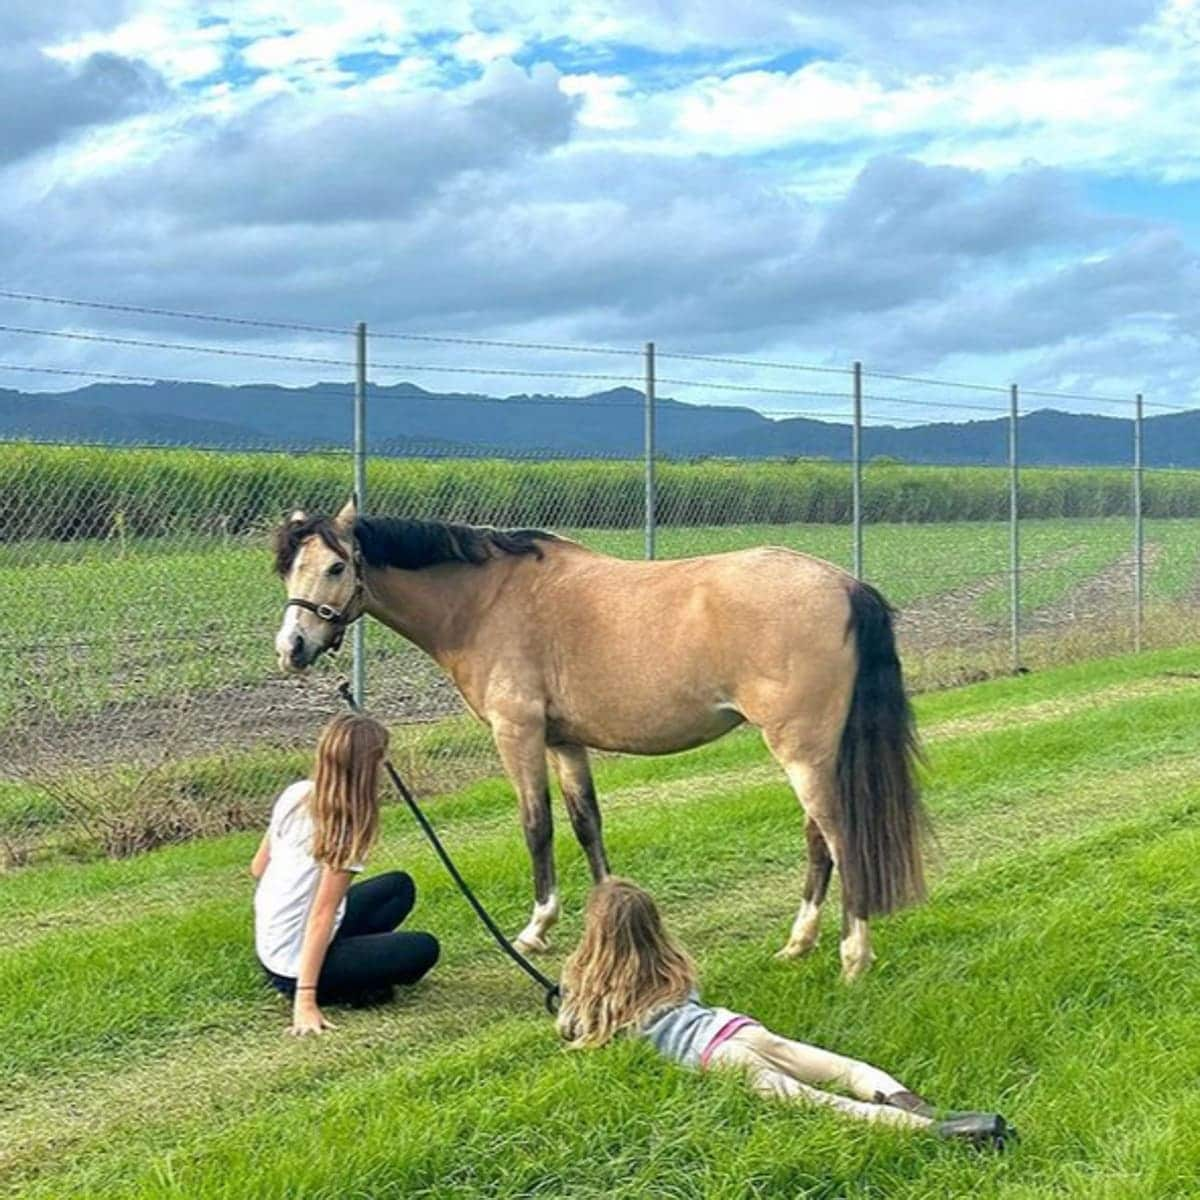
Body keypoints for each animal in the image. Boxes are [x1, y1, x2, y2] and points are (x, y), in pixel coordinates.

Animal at [274, 501, 926, 979]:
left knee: (839, 836)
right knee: (819, 839)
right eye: (288, 569)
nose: (291, 649)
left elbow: (536, 825)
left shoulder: (519, 733)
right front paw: (608, 915)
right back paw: (799, 942)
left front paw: (537, 928)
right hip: (811, 752)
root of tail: (844, 584)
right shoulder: (565, 742)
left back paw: (852, 957)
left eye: (335, 567)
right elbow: (587, 823)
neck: (487, 601)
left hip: (800, 750)